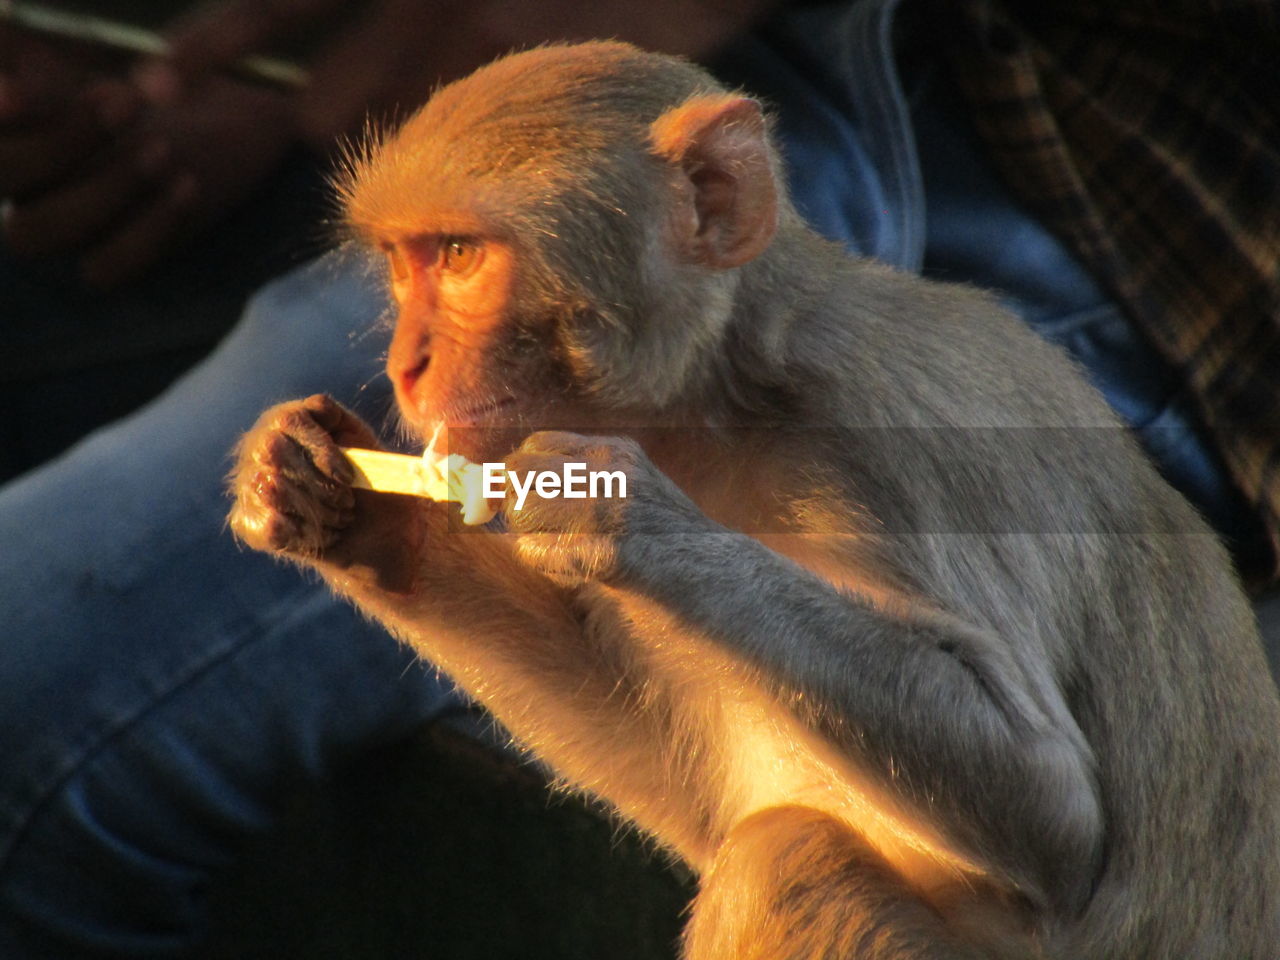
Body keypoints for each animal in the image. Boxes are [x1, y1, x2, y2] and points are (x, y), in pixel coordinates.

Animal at [227, 43, 1280, 960]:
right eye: (406, 263)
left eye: (458, 255)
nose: (406, 362)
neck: (734, 394)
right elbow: (691, 794)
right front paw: (344, 504)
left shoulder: (884, 442)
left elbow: (1056, 811)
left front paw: (627, 520)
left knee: (788, 859)